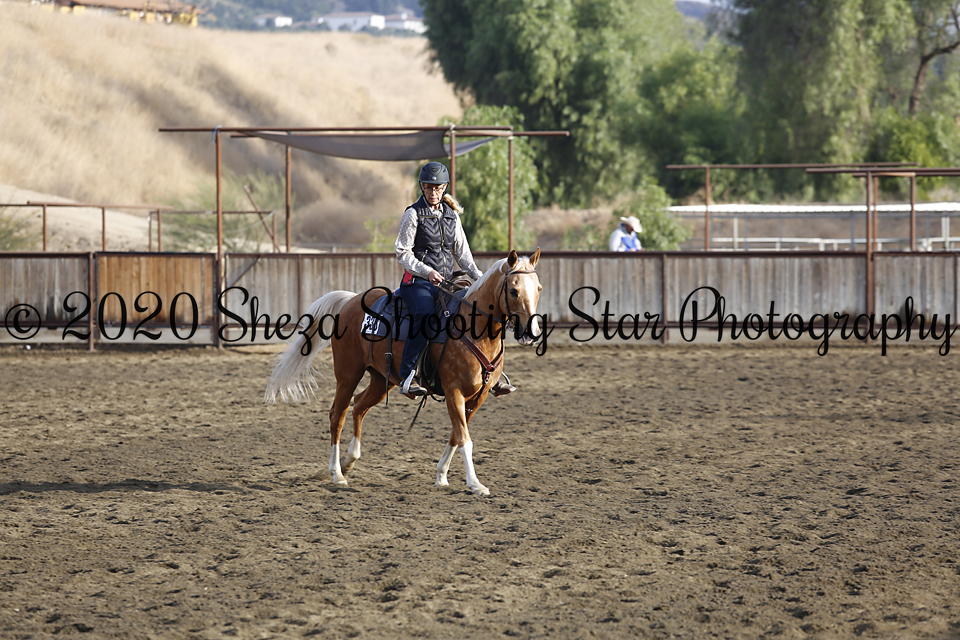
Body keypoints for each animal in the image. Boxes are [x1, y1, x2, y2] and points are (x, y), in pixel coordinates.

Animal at [264, 248, 543, 496]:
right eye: (514, 290)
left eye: (538, 289)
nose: (531, 333)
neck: (472, 330)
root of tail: (351, 300)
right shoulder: (454, 392)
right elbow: (465, 438)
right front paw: (475, 484)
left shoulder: (478, 397)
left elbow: (456, 435)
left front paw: (441, 476)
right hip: (347, 374)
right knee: (337, 415)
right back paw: (337, 473)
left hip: (381, 380)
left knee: (359, 406)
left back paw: (349, 460)